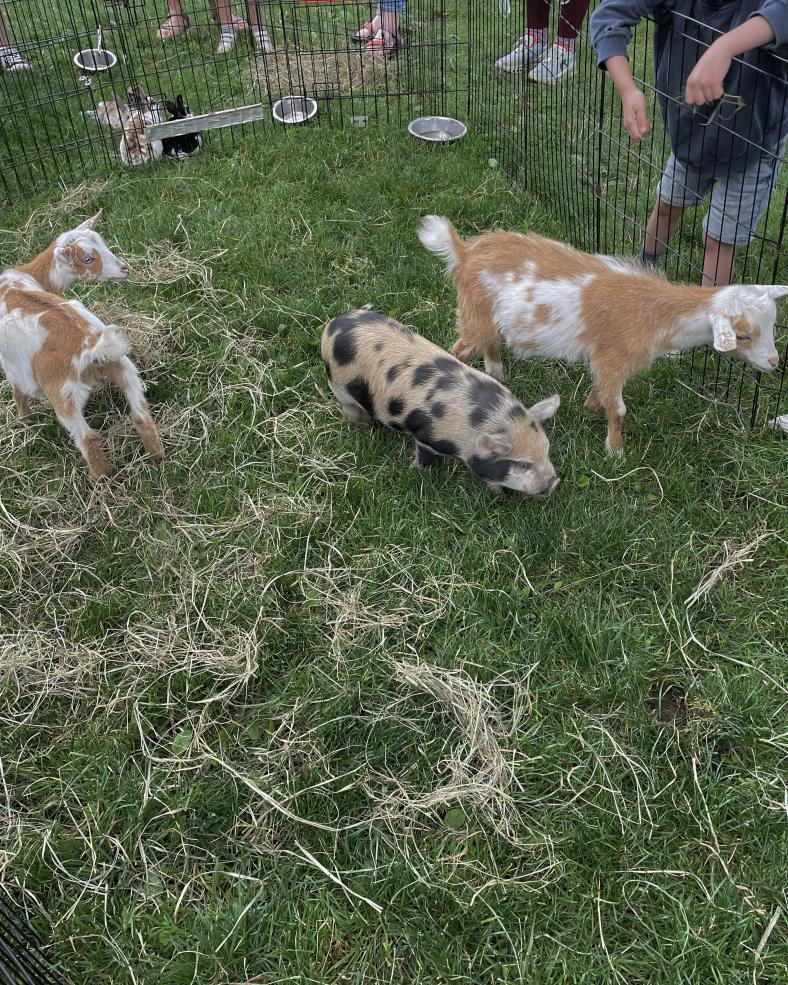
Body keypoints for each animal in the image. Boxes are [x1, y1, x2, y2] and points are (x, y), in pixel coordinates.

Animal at [0, 213, 163, 478]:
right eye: (88, 258)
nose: (125, 269)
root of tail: (92, 348)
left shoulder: (13, 365)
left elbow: (18, 392)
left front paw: (26, 420)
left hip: (64, 396)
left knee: (87, 438)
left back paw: (101, 479)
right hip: (125, 369)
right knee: (141, 415)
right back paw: (158, 457)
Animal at [320, 310, 560, 496]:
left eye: (547, 449)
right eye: (522, 464)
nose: (554, 483)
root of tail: (333, 325)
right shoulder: (427, 436)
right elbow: (425, 456)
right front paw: (414, 469)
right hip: (340, 385)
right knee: (350, 408)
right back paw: (365, 428)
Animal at [418, 215, 780, 454]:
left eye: (773, 325)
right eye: (743, 335)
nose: (775, 362)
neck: (656, 313)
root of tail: (464, 252)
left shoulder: (604, 360)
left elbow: (601, 390)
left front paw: (589, 406)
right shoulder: (614, 357)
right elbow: (618, 409)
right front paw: (616, 451)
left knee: (489, 344)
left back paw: (497, 374)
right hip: (474, 312)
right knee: (461, 348)